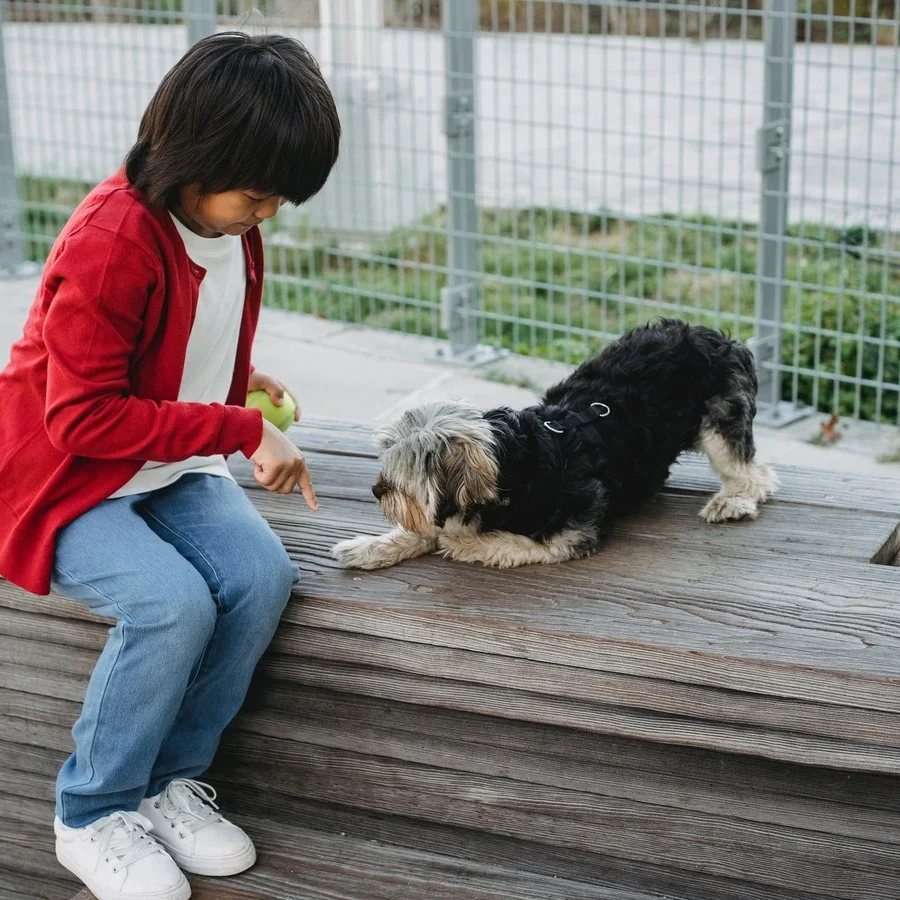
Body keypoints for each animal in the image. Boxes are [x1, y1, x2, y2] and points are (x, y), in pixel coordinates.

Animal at [334, 318, 776, 568]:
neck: (513, 468)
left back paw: (733, 501)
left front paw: (463, 541)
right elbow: (425, 528)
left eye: (404, 479)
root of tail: (718, 337)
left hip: (721, 420)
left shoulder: (571, 532)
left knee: (756, 473)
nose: (376, 489)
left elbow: (499, 542)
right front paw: (371, 547)